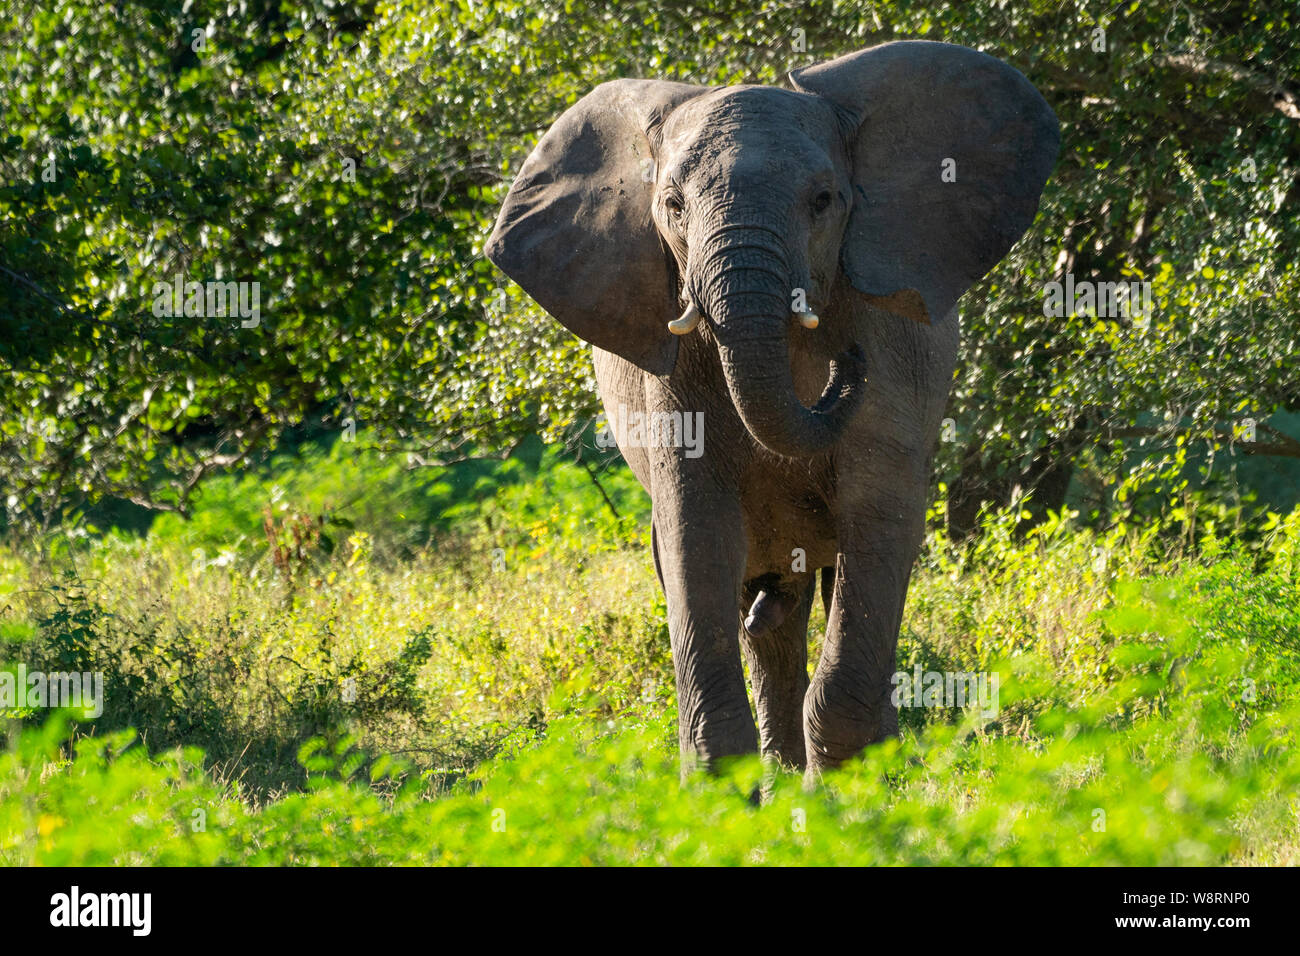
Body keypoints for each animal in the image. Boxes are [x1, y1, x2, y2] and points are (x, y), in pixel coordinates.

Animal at [483, 41, 1060, 780]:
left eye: (824, 201)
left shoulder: (891, 340)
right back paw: (782, 769)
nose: (848, 365)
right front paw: (722, 791)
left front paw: (851, 785)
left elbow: (879, 516)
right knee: (768, 609)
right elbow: (695, 528)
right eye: (671, 205)